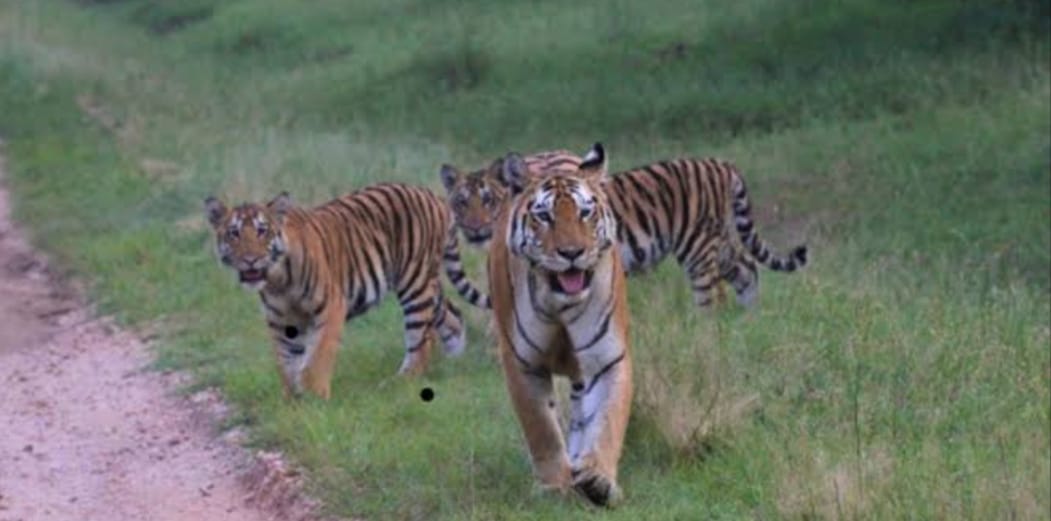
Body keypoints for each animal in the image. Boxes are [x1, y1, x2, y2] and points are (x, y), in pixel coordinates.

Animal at [203, 183, 490, 400]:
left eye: (262, 231)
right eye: (234, 233)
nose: (250, 260)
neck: (277, 280)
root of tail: (435, 197)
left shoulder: (330, 307)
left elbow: (316, 358)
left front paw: (315, 398)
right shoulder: (281, 321)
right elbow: (286, 363)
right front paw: (291, 401)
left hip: (415, 284)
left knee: (421, 339)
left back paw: (401, 381)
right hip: (428, 285)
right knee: (453, 314)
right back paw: (454, 360)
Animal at [447, 150, 808, 309]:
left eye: (488, 200)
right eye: (462, 203)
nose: (475, 228)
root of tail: (722, 164)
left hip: (698, 246)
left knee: (712, 293)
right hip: (720, 241)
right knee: (747, 269)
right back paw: (750, 318)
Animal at [488, 142, 632, 507]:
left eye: (585, 213)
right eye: (544, 216)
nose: (572, 252)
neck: (560, 303)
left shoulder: (607, 358)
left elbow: (606, 420)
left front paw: (599, 479)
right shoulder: (521, 362)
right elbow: (542, 428)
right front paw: (555, 485)